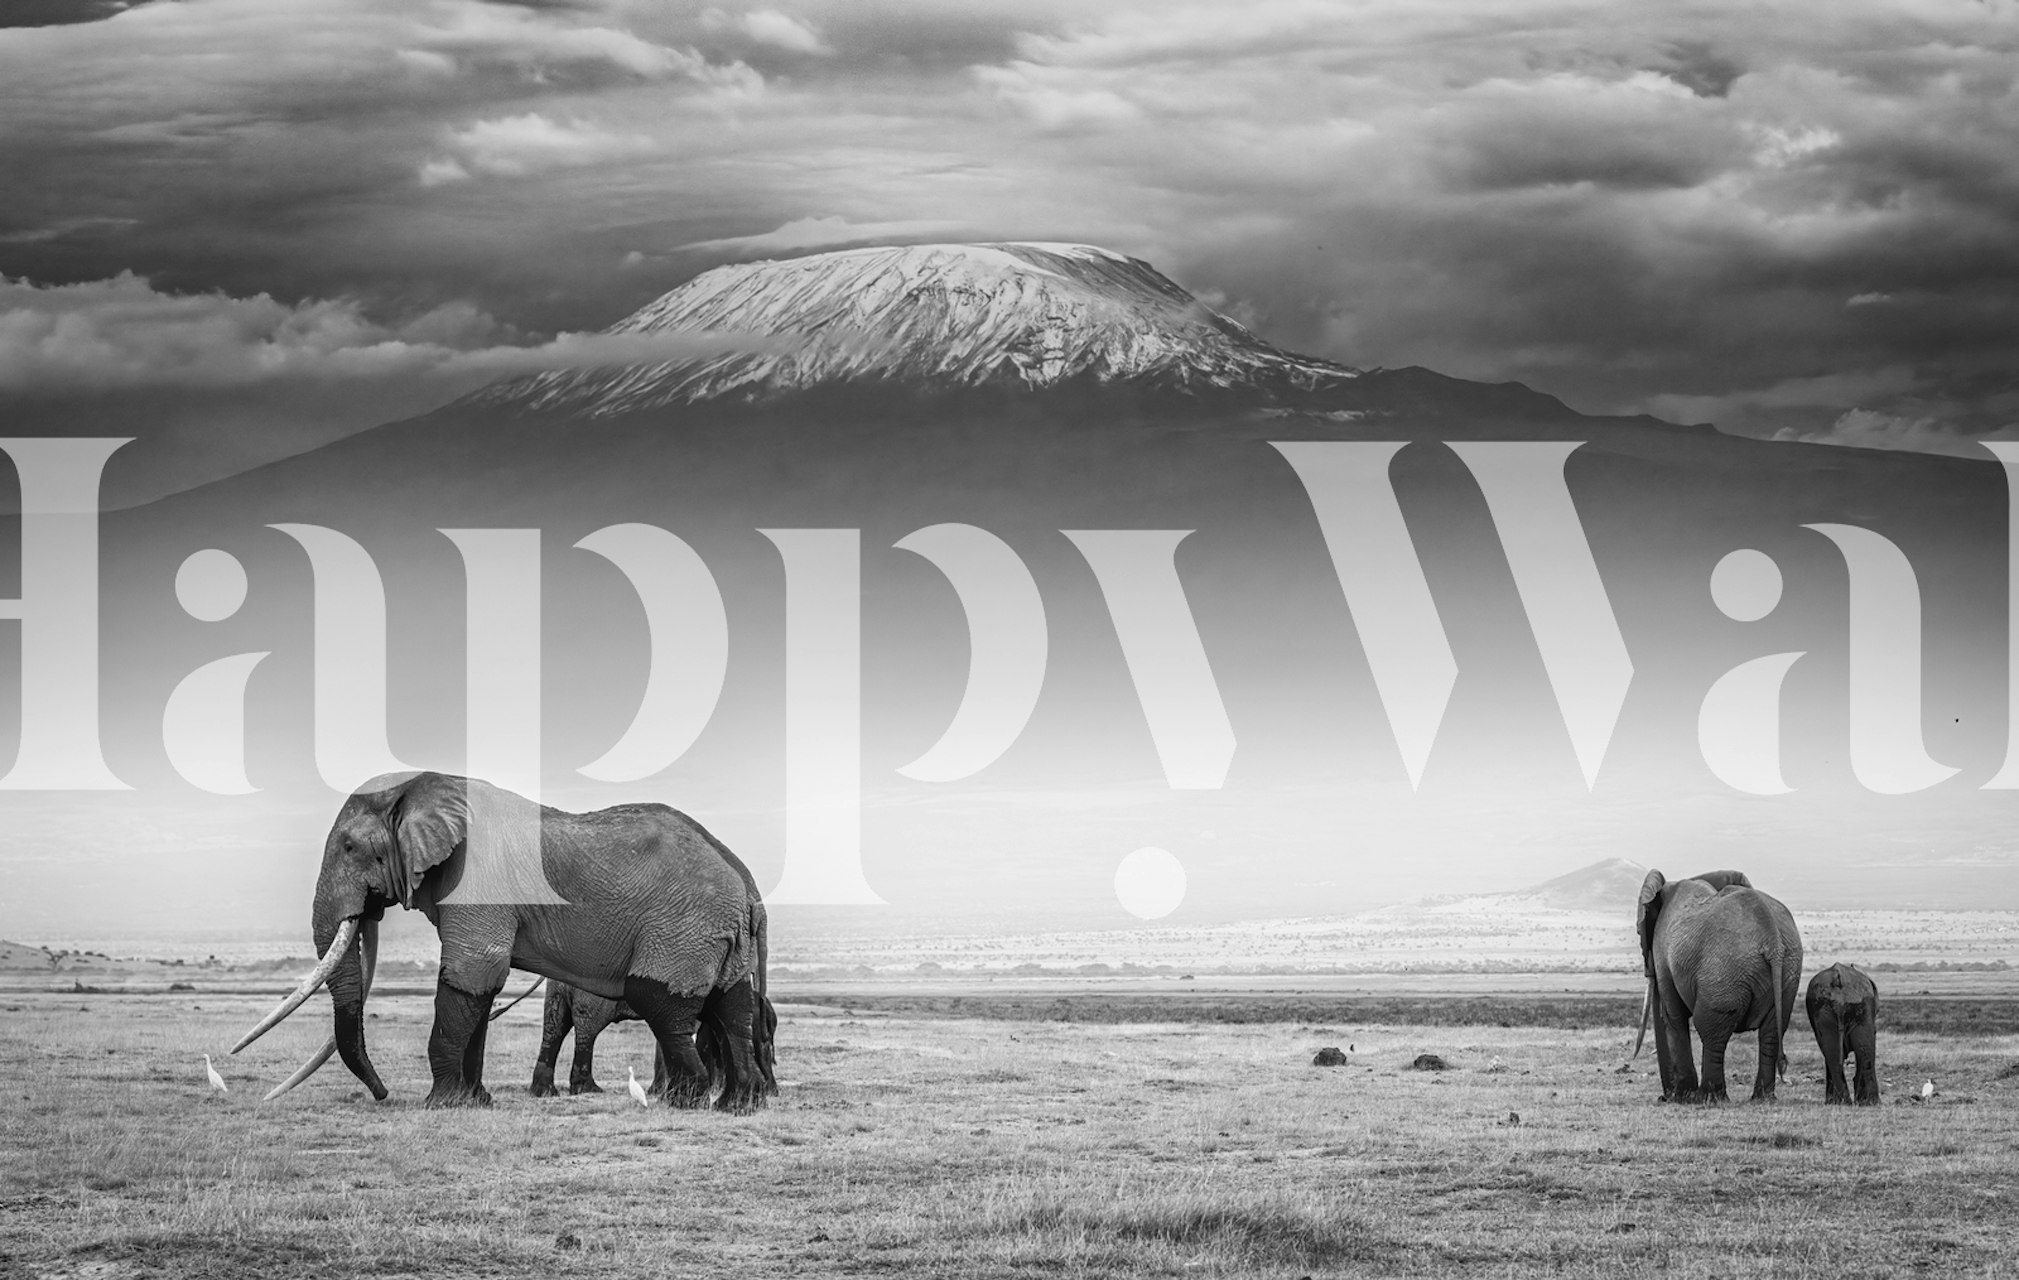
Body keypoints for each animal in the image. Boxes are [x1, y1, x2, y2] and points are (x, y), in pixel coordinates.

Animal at [233, 771, 771, 1111]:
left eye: (348, 847)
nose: (383, 1095)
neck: (422, 787)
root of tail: (747, 886)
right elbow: (480, 989)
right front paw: (476, 1102)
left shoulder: (477, 879)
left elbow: (471, 975)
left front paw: (440, 1105)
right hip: (716, 935)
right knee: (732, 1006)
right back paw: (738, 1106)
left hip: (682, 929)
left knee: (663, 1004)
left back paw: (686, 1102)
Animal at [1633, 868, 1803, 1103]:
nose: (1664, 1097)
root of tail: (1772, 940)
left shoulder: (1663, 951)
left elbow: (1672, 1016)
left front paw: (1682, 1098)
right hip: (1788, 969)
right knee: (1772, 1032)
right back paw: (1762, 1099)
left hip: (1723, 971)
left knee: (1711, 1031)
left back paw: (1708, 1099)